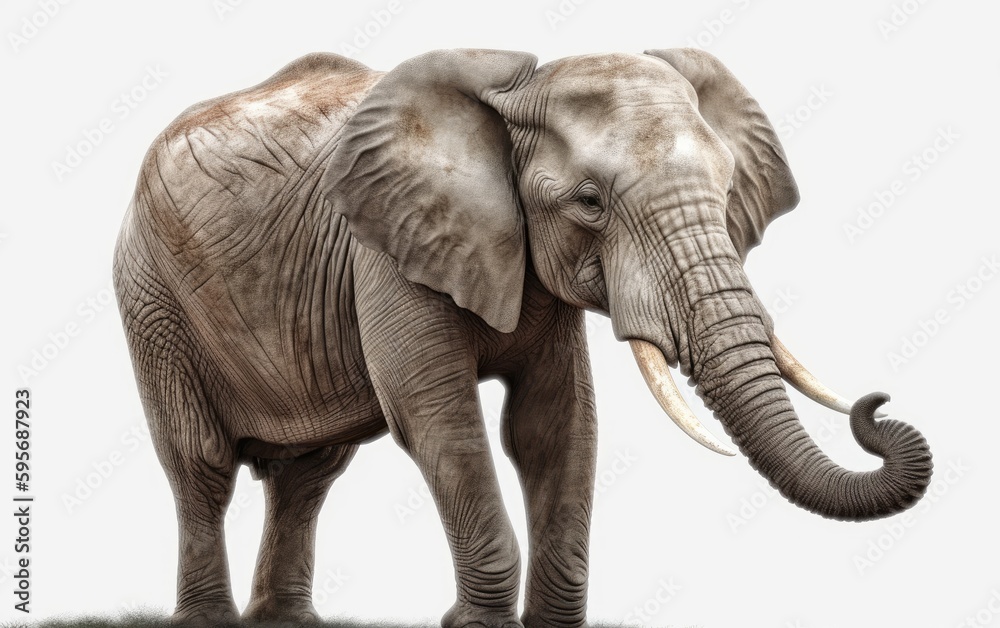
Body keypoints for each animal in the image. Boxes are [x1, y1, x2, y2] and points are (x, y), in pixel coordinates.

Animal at [113, 47, 933, 627]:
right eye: (590, 202)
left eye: (729, 189)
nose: (877, 409)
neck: (513, 99)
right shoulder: (386, 250)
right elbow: (437, 418)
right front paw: (475, 624)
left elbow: (556, 423)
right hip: (150, 294)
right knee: (201, 463)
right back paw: (208, 617)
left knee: (309, 474)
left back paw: (284, 620)